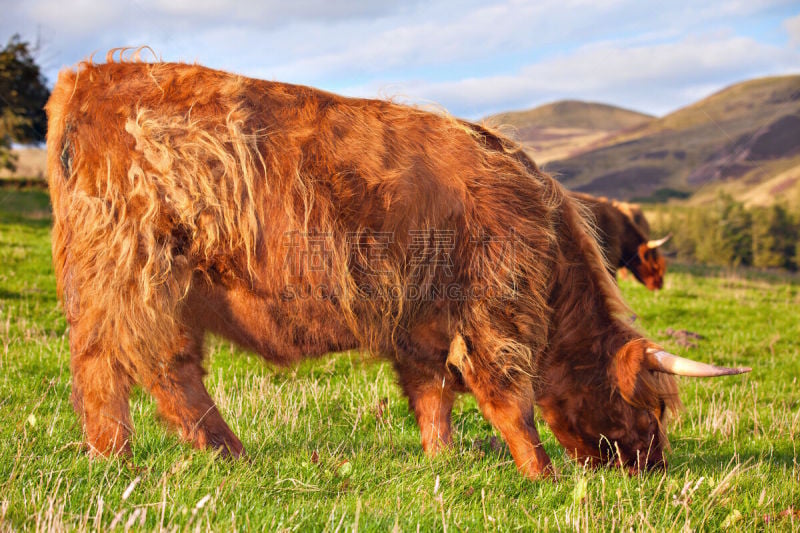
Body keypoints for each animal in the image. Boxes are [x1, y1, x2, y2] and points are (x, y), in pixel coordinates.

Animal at [45, 55, 752, 478]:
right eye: (652, 408)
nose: (652, 468)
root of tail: (88, 78)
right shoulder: (497, 310)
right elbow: (509, 399)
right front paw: (542, 474)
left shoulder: (424, 326)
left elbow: (432, 395)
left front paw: (443, 462)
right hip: (140, 272)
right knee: (147, 366)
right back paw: (171, 456)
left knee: (123, 364)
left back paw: (134, 456)